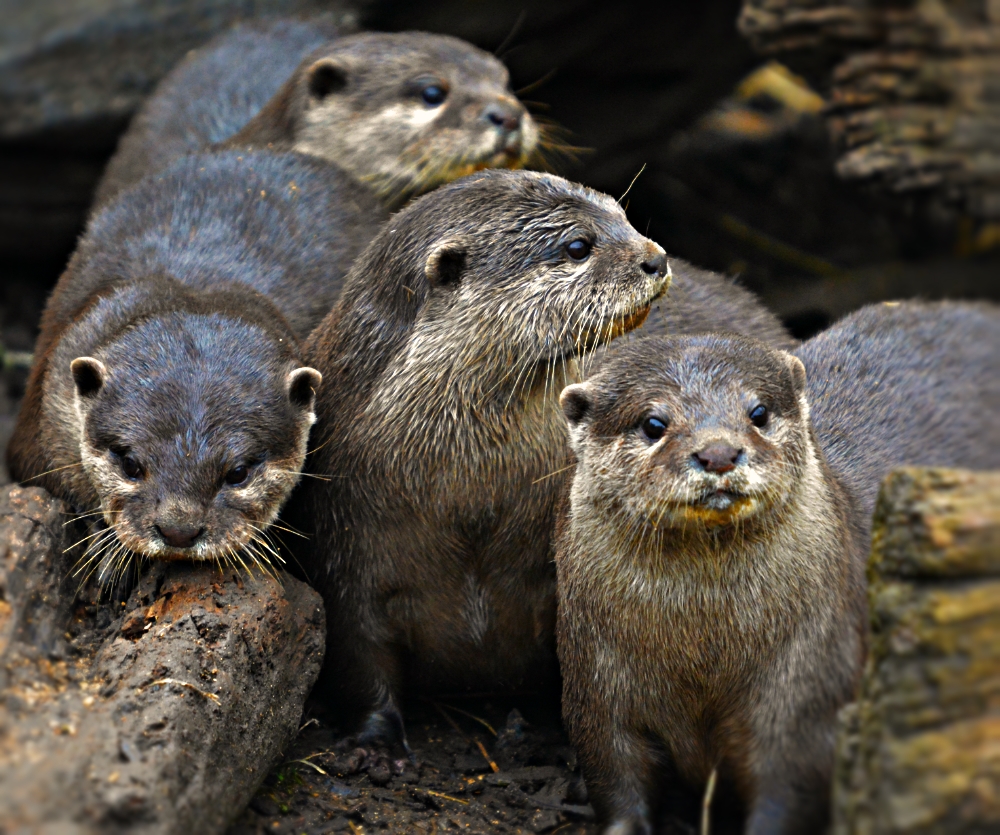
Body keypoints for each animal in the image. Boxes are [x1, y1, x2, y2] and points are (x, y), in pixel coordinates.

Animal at [555, 300, 1000, 834]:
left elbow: (791, 783)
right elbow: (615, 774)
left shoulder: (807, 687)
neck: (703, 656)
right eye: (653, 423)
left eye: (758, 413)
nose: (719, 452)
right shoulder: (598, 687)